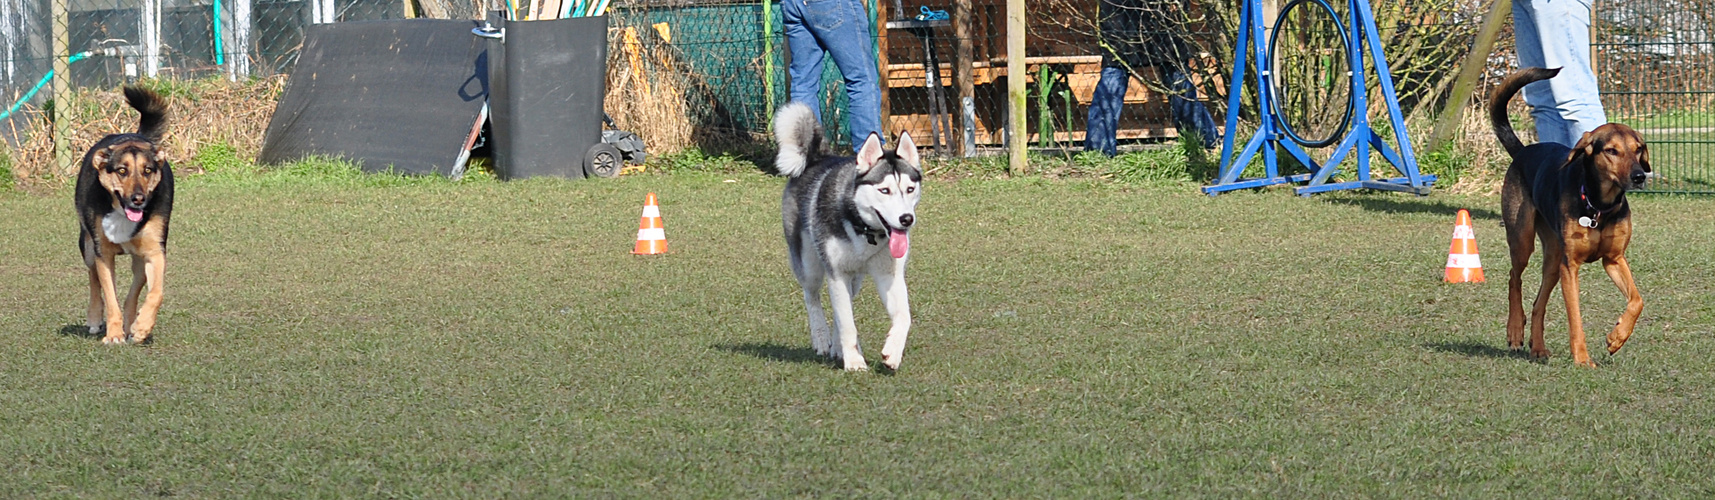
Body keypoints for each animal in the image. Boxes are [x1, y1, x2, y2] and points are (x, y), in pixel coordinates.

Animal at [75, 84, 174, 344]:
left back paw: (132, 325)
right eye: (121, 171)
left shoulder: (154, 251)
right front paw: (113, 334)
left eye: (148, 170)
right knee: (93, 279)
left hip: (138, 259)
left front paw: (141, 327)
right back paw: (94, 319)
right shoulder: (103, 253)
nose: (138, 199)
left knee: (133, 293)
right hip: (87, 245)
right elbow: (110, 297)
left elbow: (156, 292)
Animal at [768, 102, 919, 371]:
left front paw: (892, 352)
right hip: (810, 265)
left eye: (910, 189)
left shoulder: (889, 275)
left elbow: (904, 317)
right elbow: (847, 323)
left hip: (854, 279)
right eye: (884, 190)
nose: (906, 219)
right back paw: (822, 338)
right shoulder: (836, 273)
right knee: (812, 296)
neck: (866, 232)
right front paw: (855, 362)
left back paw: (839, 347)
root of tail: (816, 158)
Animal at [1488, 66, 1646, 366]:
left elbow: (1637, 300)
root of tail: (1523, 150)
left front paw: (1617, 337)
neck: (1598, 206)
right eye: (1611, 151)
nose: (1640, 176)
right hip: (1523, 239)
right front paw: (1582, 359)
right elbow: (1576, 318)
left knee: (1538, 304)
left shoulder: (1614, 259)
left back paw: (1538, 347)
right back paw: (1515, 331)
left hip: (1552, 260)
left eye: (1638, 148)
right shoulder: (1570, 267)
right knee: (1514, 277)